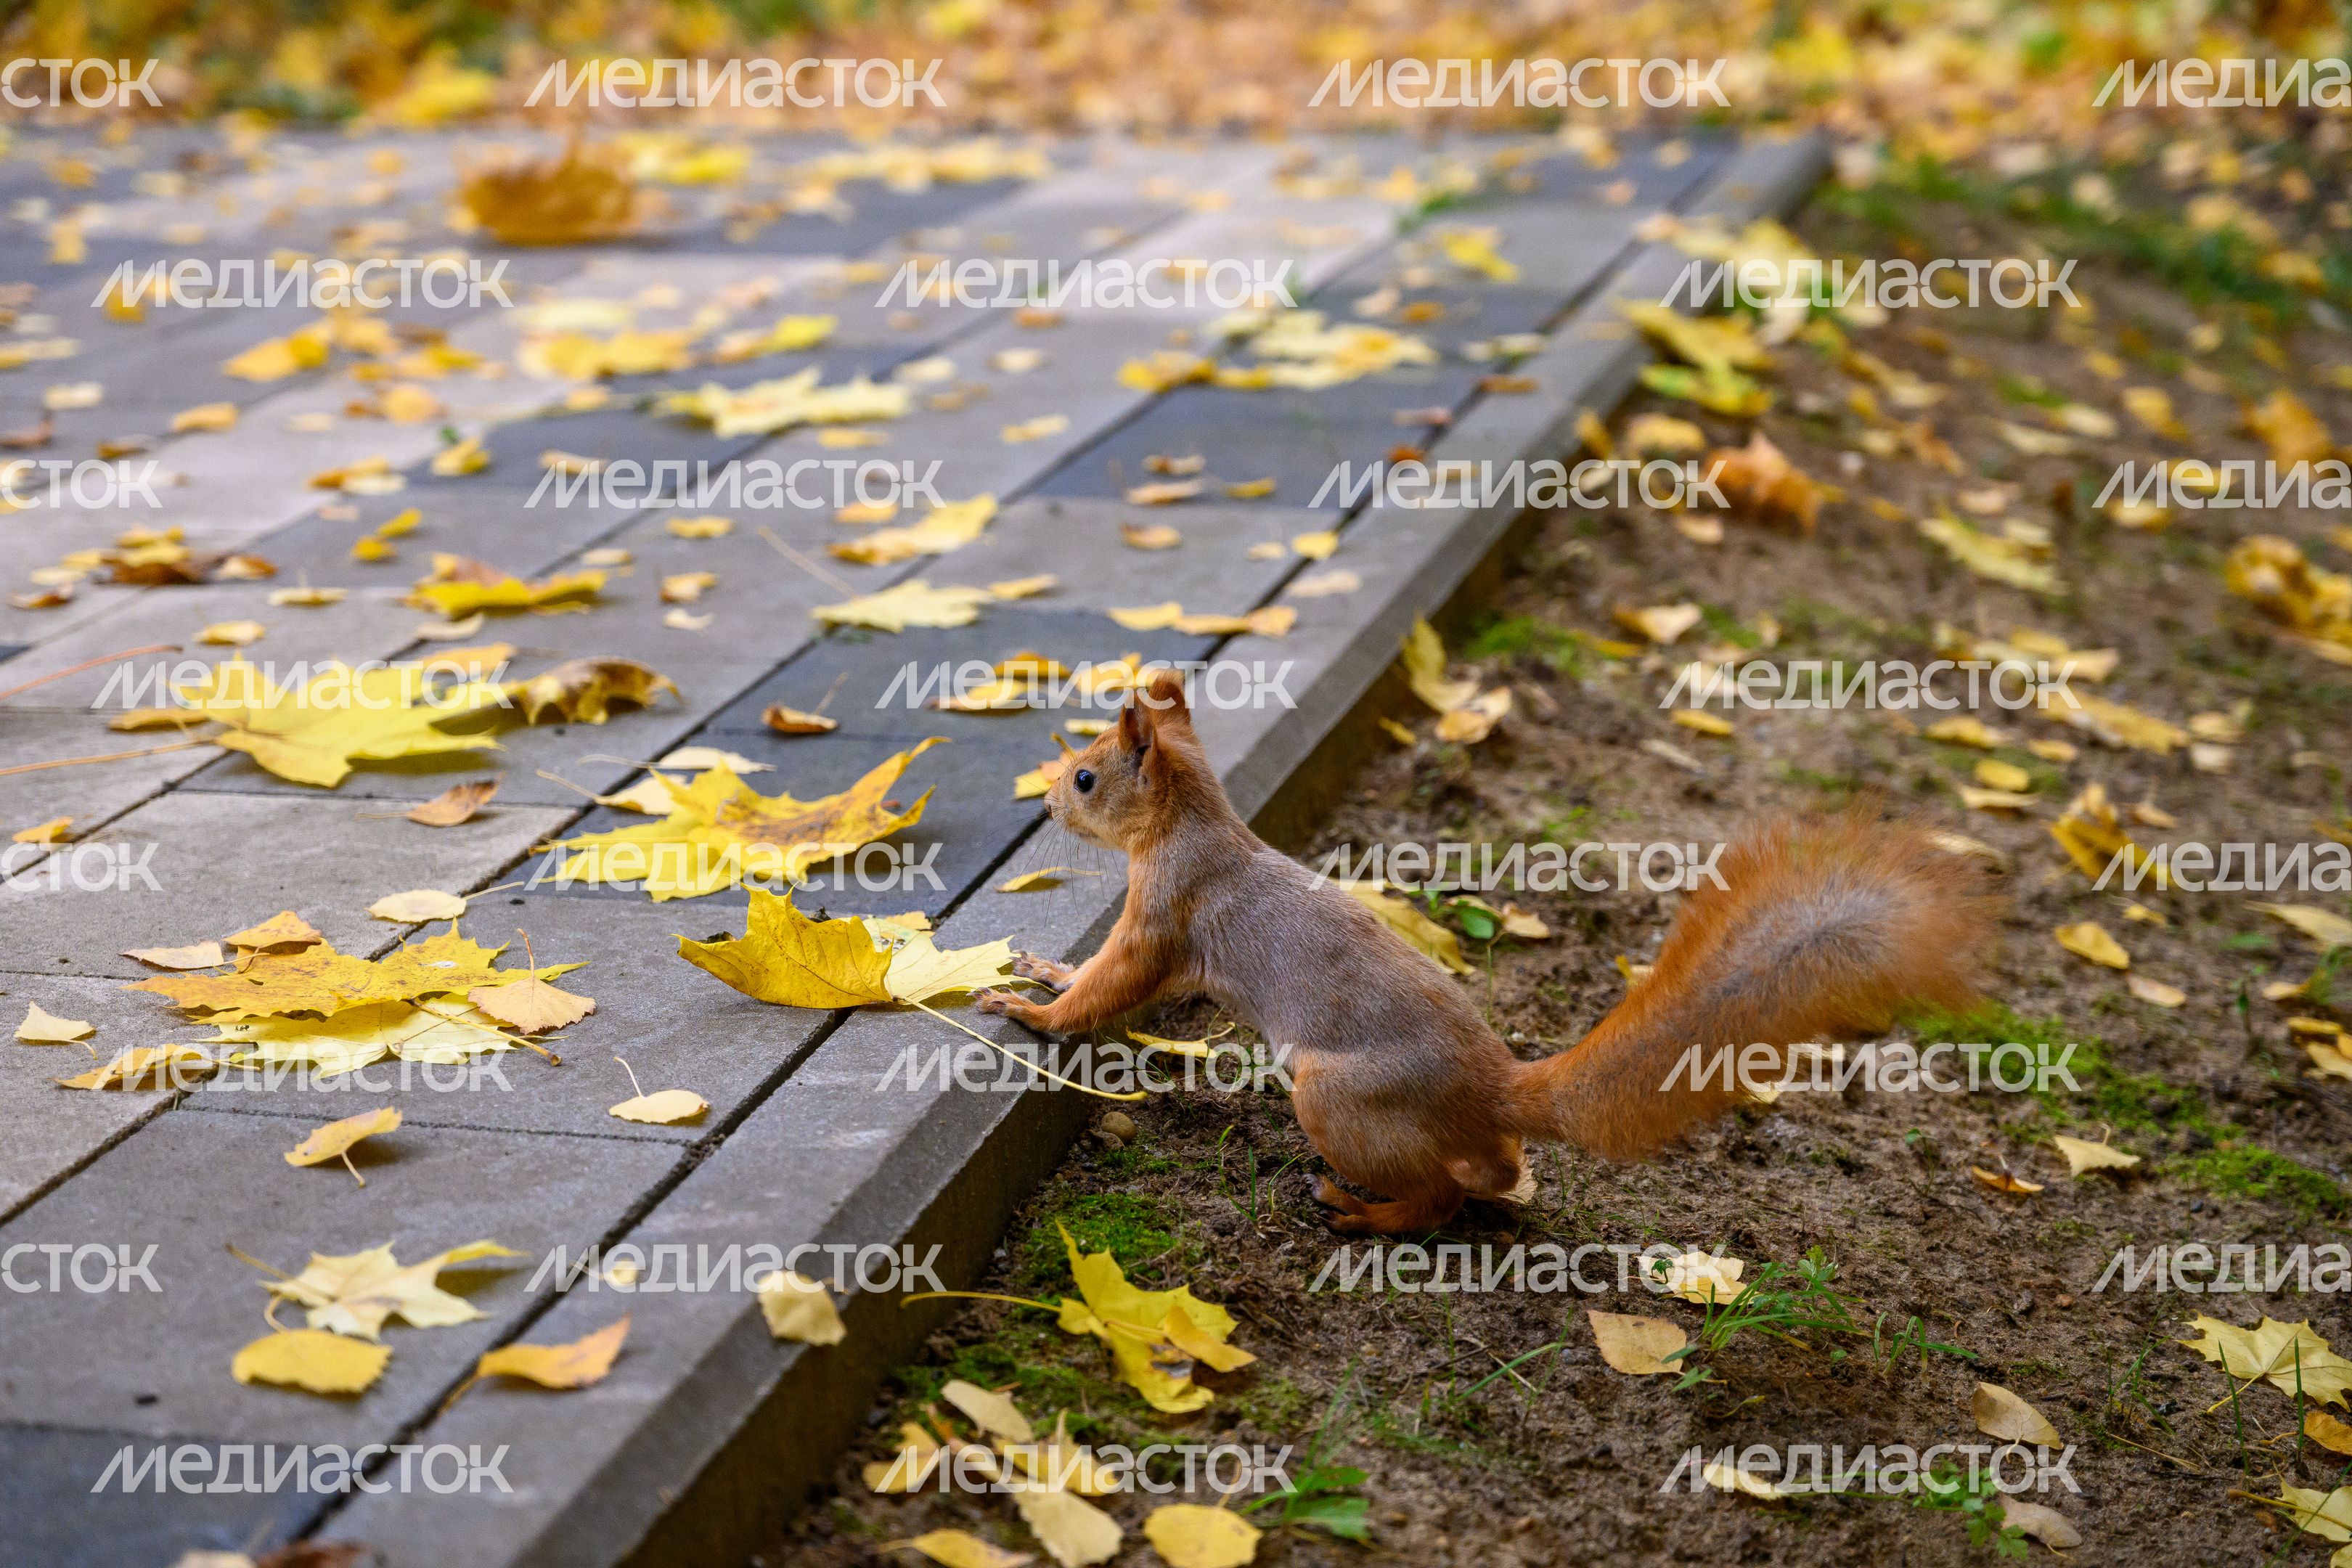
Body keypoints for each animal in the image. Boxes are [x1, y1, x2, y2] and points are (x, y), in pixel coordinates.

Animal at [977, 670, 1994, 1235]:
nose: (1046, 805)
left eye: (1085, 777)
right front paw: (1044, 972)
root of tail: (1496, 1087)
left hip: (1336, 1098)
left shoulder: (1166, 914)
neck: (1191, 825)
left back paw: (1364, 1212)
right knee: (1499, 1177)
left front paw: (1031, 1008)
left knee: (1441, 1199)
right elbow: (1096, 975)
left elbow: (1114, 982)